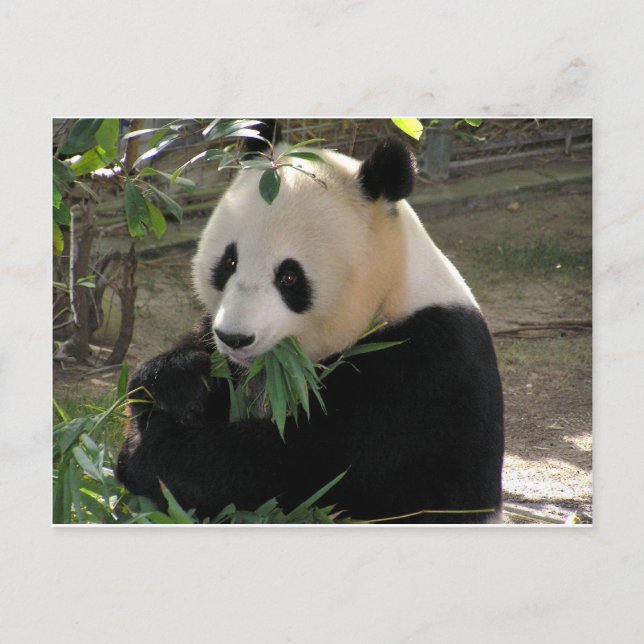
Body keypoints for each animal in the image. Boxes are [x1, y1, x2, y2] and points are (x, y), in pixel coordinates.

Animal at [117, 125, 504, 524]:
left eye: (289, 277)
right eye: (229, 262)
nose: (235, 338)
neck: (389, 294)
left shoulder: (422, 366)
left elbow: (310, 466)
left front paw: (150, 454)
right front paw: (178, 382)